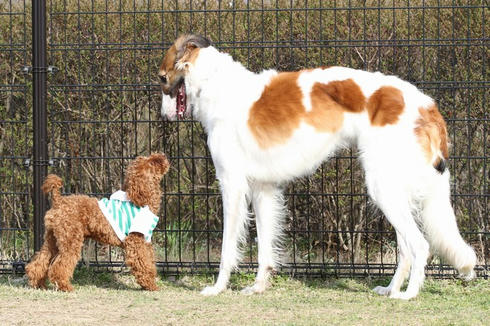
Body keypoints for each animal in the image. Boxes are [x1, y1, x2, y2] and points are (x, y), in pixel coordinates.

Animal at [159, 34, 476, 300]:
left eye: (162, 78)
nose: (163, 116)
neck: (217, 84)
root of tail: (427, 105)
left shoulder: (231, 184)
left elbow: (228, 247)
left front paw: (217, 287)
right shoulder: (263, 189)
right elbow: (264, 248)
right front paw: (259, 286)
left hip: (383, 187)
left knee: (420, 245)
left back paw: (408, 295)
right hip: (394, 188)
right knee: (406, 250)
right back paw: (390, 289)